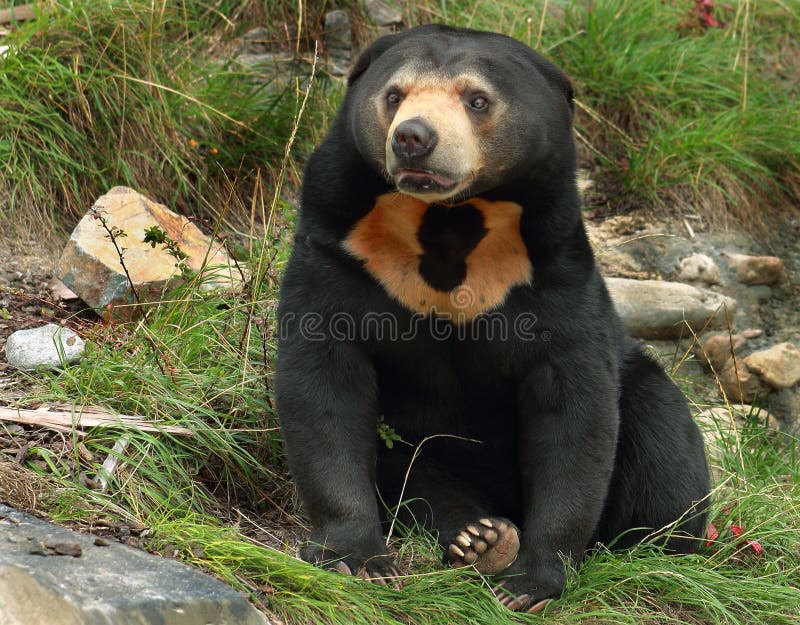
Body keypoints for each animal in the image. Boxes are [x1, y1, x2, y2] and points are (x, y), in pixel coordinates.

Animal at [274, 23, 708, 608]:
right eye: (394, 95)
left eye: (476, 99)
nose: (413, 137)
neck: (448, 221)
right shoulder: (339, 249)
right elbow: (325, 383)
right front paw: (356, 558)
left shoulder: (551, 269)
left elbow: (573, 411)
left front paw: (529, 584)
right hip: (420, 449)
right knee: (418, 480)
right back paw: (478, 537)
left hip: (646, 393)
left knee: (665, 445)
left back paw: (656, 554)